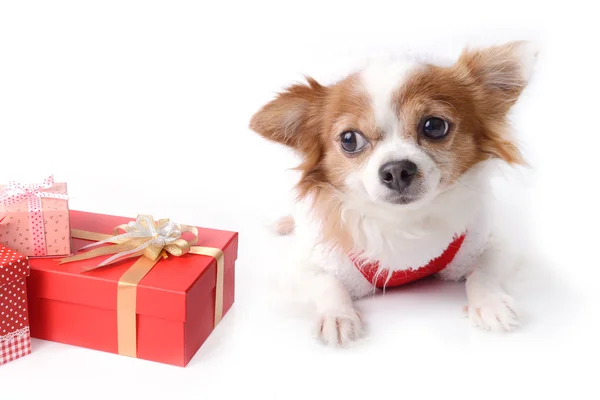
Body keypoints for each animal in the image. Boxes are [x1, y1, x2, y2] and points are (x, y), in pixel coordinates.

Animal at [248, 41, 540, 346]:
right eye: (349, 140)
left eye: (434, 126)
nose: (397, 170)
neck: (404, 222)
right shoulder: (305, 266)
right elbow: (327, 282)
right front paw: (338, 315)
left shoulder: (488, 243)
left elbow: (482, 271)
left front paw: (490, 303)